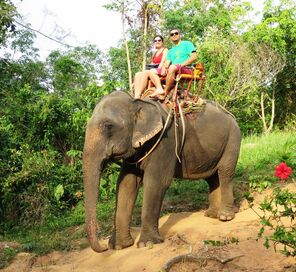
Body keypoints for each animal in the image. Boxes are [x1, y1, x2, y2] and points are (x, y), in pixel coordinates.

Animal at [82, 90, 240, 252]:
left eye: (108, 126)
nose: (103, 247)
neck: (138, 102)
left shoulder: (166, 140)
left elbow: (156, 182)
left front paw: (146, 244)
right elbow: (126, 184)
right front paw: (119, 246)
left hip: (233, 138)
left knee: (225, 172)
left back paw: (225, 217)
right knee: (212, 177)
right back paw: (211, 215)